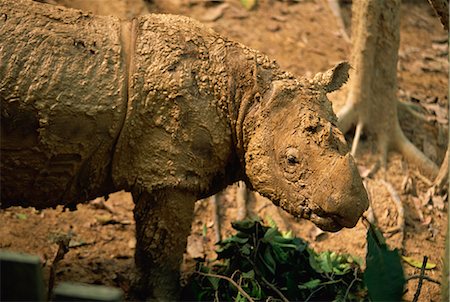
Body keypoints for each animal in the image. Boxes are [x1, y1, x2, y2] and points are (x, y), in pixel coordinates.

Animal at [0, 0, 370, 298]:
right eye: (291, 160)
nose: (353, 209)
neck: (242, 100)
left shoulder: (160, 172)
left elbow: (147, 246)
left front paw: (138, 290)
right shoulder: (171, 175)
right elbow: (163, 251)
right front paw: (166, 296)